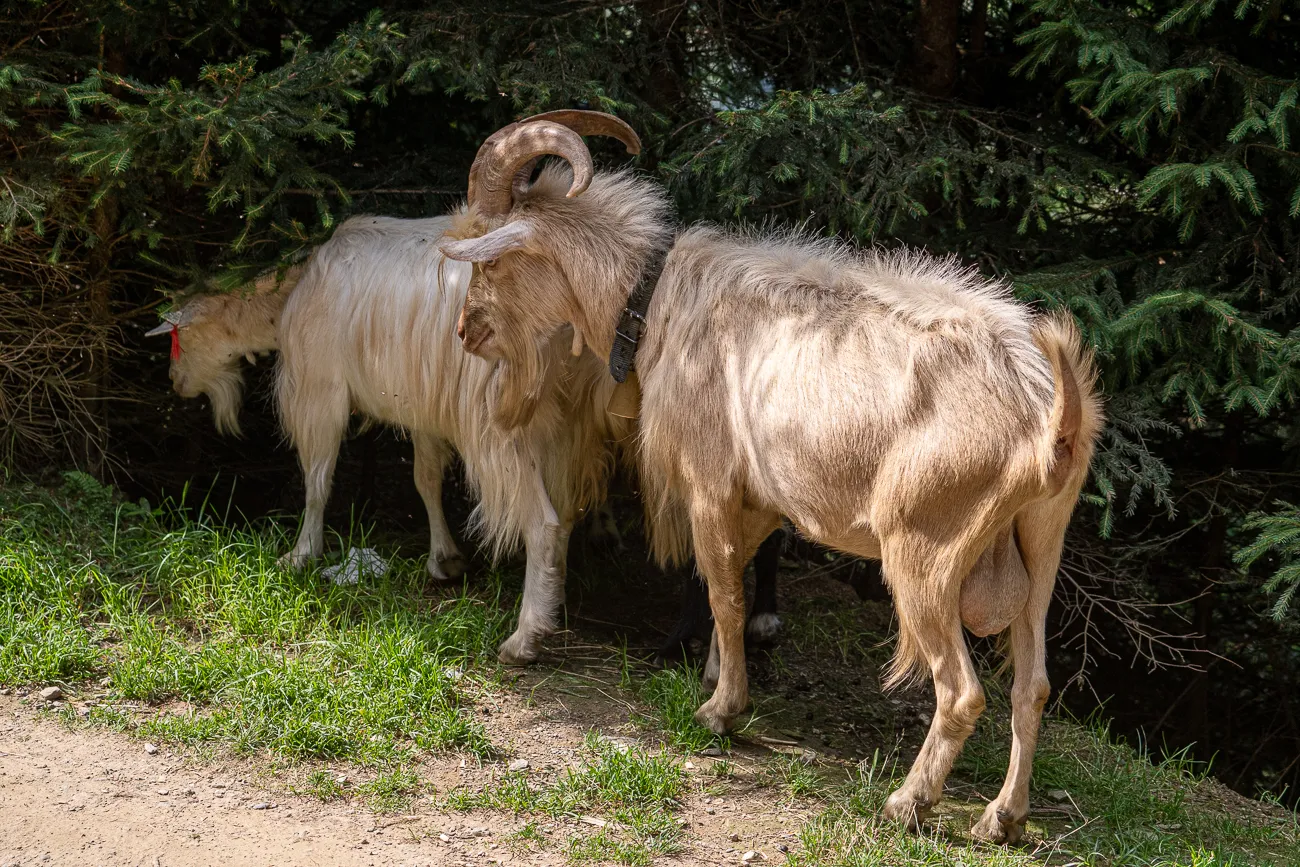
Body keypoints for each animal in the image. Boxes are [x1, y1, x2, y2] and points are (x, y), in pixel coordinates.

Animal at [438, 112, 1104, 844]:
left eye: (490, 259)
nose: (467, 331)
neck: (657, 299)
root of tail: (1047, 417)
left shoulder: (709, 483)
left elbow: (724, 592)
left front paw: (720, 710)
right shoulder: (756, 500)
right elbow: (735, 576)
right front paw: (713, 678)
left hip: (925, 548)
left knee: (961, 690)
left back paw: (908, 802)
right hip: (1041, 544)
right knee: (1032, 685)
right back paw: (1001, 818)